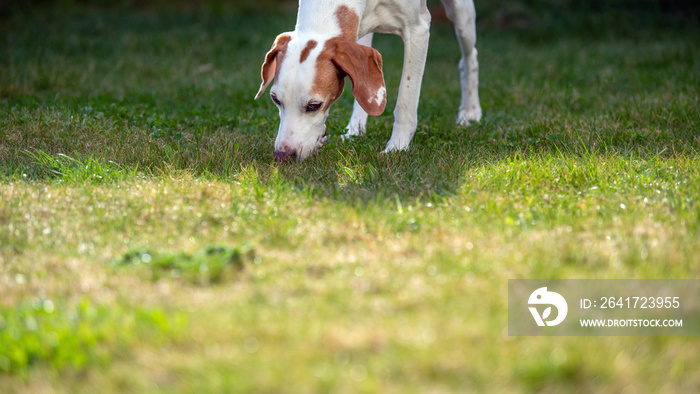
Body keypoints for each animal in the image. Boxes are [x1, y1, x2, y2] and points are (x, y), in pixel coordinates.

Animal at [256, 0, 482, 162]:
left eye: (314, 105)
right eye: (275, 99)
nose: (283, 156)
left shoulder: (418, 30)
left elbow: (405, 102)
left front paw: (397, 147)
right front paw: (351, 131)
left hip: (461, 14)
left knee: (470, 57)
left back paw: (470, 112)